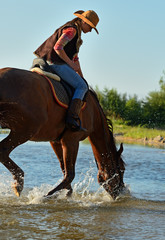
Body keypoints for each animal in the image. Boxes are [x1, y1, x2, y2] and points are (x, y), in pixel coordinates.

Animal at [0, 67, 124, 199]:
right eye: (122, 170)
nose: (121, 191)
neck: (93, 114)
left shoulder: (56, 141)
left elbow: (64, 170)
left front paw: (65, 194)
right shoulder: (71, 140)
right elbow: (69, 175)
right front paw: (46, 196)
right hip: (25, 130)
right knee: (3, 150)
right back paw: (19, 183)